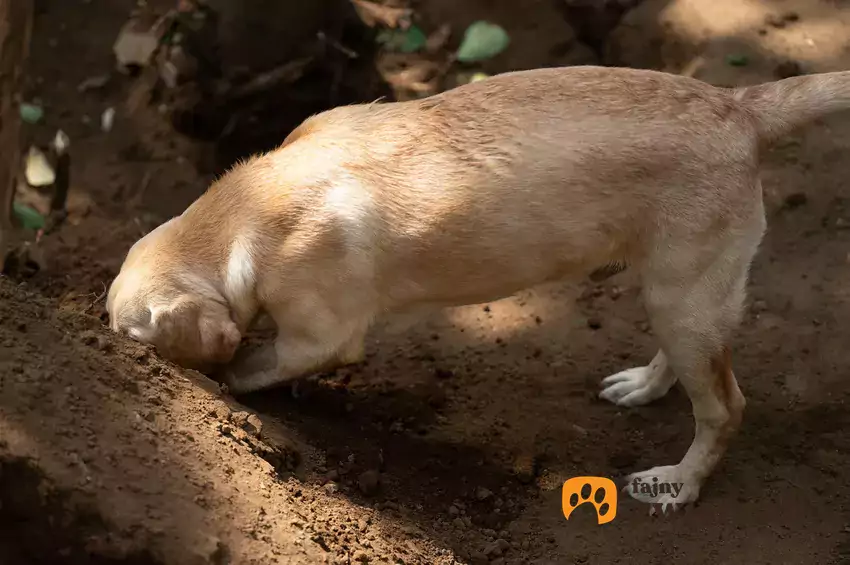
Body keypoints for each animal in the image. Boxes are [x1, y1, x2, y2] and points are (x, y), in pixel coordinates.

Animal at [106, 65, 848, 506]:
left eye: (127, 333)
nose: (109, 344)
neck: (249, 210)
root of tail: (740, 106)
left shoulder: (318, 340)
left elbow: (248, 368)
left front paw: (230, 385)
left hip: (684, 297)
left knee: (726, 406)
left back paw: (680, 483)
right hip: (677, 292)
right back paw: (644, 386)